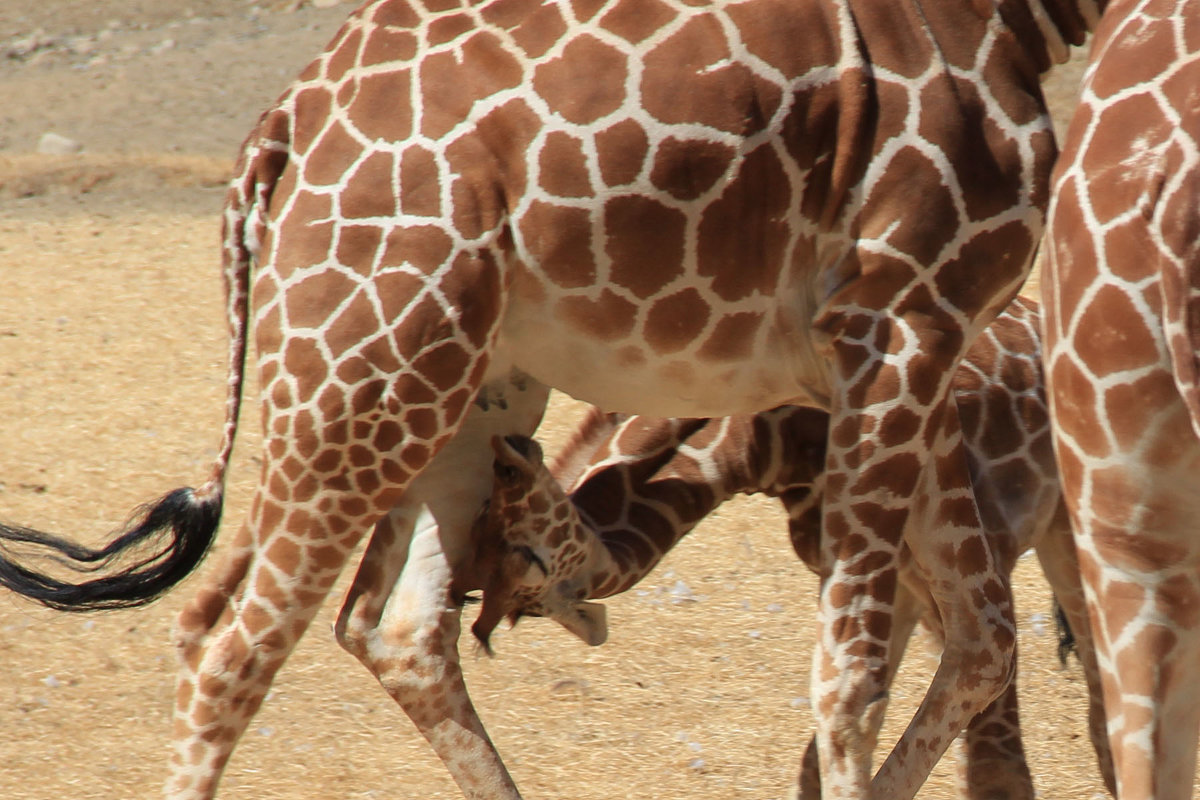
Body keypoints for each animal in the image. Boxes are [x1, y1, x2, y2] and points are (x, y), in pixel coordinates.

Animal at [463, 297, 1108, 796]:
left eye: (523, 556)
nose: (479, 626)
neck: (766, 440)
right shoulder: (859, 570)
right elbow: (825, 746)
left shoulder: (970, 547)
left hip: (1062, 534)